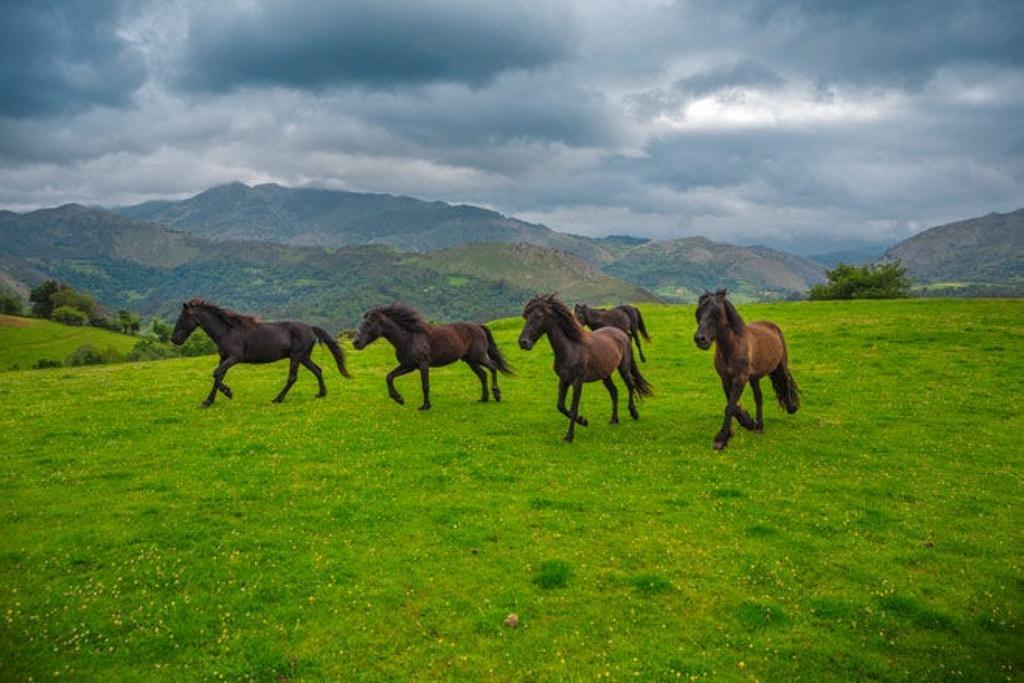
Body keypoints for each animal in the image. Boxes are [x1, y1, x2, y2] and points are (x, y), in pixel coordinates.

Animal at [171, 298, 350, 407]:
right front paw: (208, 402)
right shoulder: (224, 358)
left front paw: (228, 392)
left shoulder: (234, 357)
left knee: (293, 377)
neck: (227, 331)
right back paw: (321, 394)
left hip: (297, 356)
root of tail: (311, 328)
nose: (174, 339)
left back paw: (277, 399)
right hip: (304, 357)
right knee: (317, 370)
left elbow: (216, 374)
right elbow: (218, 376)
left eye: (181, 319)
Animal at [351, 303, 513, 410]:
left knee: (493, 366)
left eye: (369, 323)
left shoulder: (423, 364)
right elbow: (389, 376)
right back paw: (484, 398)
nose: (356, 342)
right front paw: (398, 399)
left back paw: (496, 395)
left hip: (478, 357)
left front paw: (425, 406)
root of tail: (479, 327)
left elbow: (425, 385)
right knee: (483, 374)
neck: (409, 337)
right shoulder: (408, 365)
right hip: (470, 360)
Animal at [519, 294, 652, 443]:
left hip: (623, 368)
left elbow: (573, 408)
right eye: (526, 316)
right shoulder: (563, 380)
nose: (523, 342)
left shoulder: (577, 382)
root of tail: (622, 334)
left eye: (538, 315)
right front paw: (583, 421)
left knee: (630, 385)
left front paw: (569, 436)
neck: (571, 348)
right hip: (605, 375)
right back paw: (614, 420)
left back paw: (634, 413)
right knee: (614, 392)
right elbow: (561, 406)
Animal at [693, 289, 799, 450]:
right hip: (754, 378)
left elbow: (730, 407)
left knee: (785, 381)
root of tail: (773, 327)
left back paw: (792, 407)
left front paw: (721, 440)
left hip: (780, 365)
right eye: (699, 313)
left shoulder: (740, 379)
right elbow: (733, 405)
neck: (732, 348)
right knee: (759, 398)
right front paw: (748, 423)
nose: (700, 339)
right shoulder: (726, 379)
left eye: (717, 313)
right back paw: (759, 426)